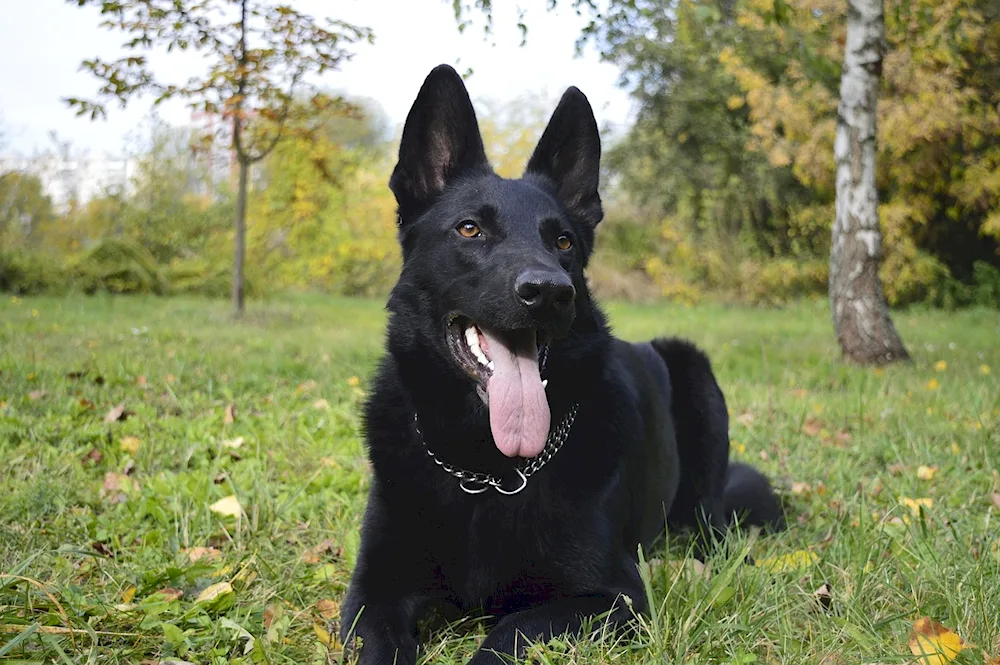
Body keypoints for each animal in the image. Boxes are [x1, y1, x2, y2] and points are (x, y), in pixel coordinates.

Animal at [340, 63, 784, 664]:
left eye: (564, 241)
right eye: (470, 229)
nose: (550, 291)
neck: (487, 471)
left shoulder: (611, 597)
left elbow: (505, 635)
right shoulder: (374, 591)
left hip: (694, 373)